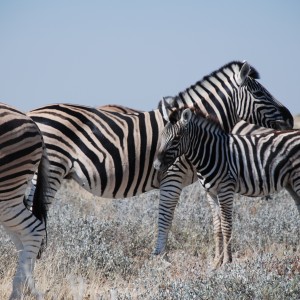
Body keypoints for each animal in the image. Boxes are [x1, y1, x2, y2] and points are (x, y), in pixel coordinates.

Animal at [25, 60, 292, 255]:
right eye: (259, 93)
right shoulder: (172, 175)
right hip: (52, 170)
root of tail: (31, 114)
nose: (290, 118)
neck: (192, 131)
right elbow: (166, 216)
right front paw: (160, 257)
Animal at [155, 107, 300, 268]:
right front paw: (216, 261)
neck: (211, 153)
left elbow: (226, 225)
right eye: (161, 136)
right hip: (291, 184)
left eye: (176, 138)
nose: (156, 165)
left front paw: (226, 261)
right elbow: (217, 226)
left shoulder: (226, 189)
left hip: (297, 180)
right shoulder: (210, 193)